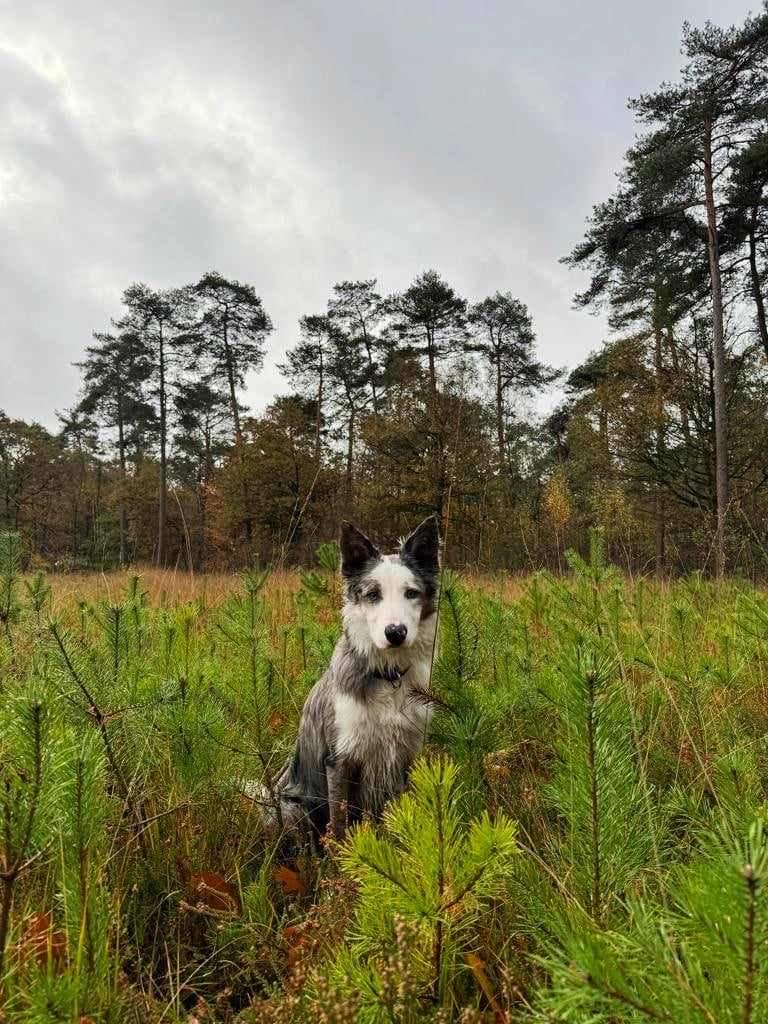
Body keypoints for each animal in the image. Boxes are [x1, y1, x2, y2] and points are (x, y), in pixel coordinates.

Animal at [265, 515, 441, 845]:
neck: (387, 676)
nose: (395, 632)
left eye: (411, 593)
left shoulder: (408, 754)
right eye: (373, 595)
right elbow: (339, 823)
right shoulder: (340, 759)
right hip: (292, 808)